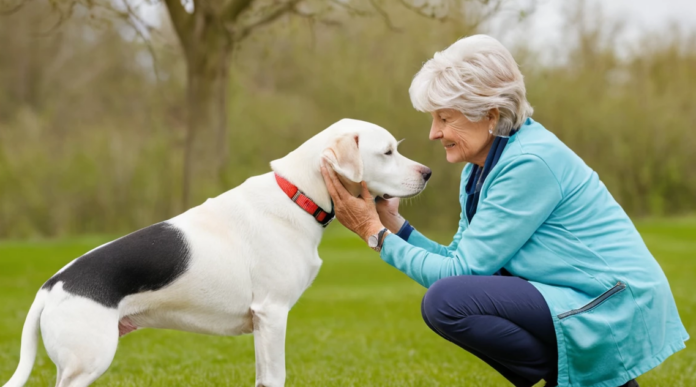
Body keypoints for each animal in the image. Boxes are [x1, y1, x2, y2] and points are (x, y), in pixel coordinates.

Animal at [2, 119, 432, 387]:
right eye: (387, 152)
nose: (428, 172)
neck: (297, 196)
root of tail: (53, 285)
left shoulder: (261, 325)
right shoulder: (273, 315)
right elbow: (276, 376)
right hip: (86, 362)